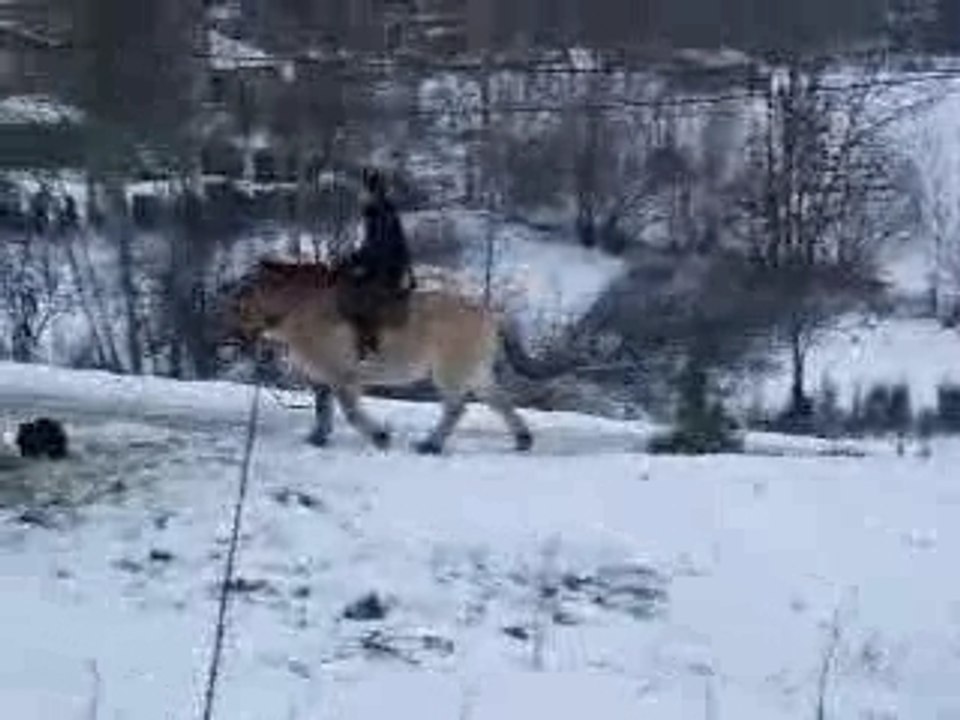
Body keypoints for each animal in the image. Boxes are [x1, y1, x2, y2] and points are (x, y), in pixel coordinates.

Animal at [218, 258, 566, 455]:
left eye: (237, 303)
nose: (230, 336)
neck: (300, 308)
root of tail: (489, 313)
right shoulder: (322, 378)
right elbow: (323, 410)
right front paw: (317, 439)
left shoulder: (341, 375)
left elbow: (350, 411)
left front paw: (380, 437)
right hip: (477, 373)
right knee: (501, 402)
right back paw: (522, 440)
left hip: (451, 373)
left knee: (456, 408)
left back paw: (430, 445)